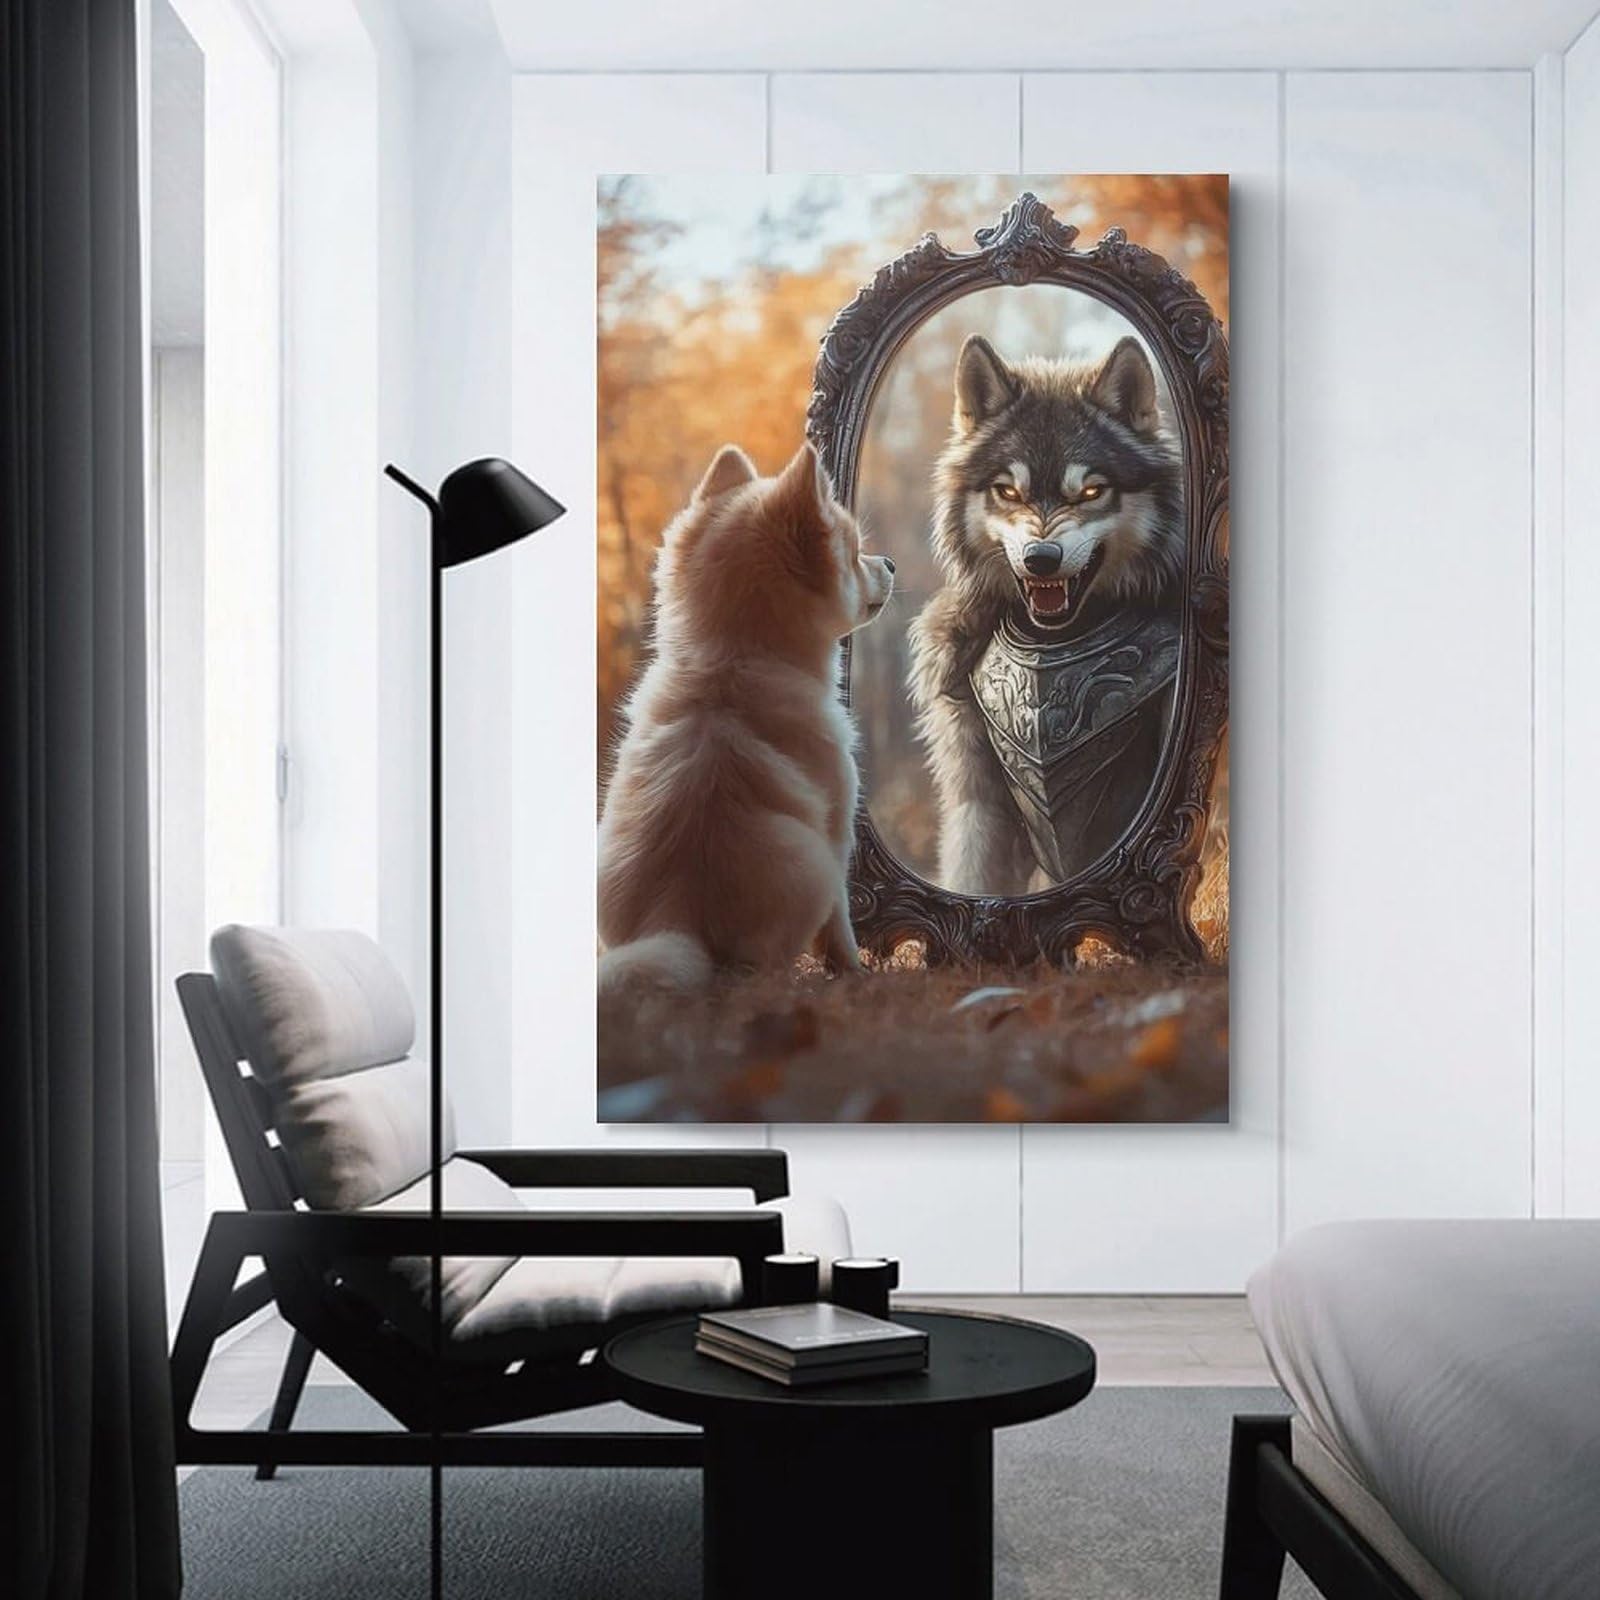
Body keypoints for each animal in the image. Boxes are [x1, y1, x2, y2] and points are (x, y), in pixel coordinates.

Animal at [598, 440, 895, 994]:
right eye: (853, 553)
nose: (888, 561)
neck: (731, 660)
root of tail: (675, 917)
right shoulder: (839, 826)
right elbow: (842, 924)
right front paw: (853, 972)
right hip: (813, 867)